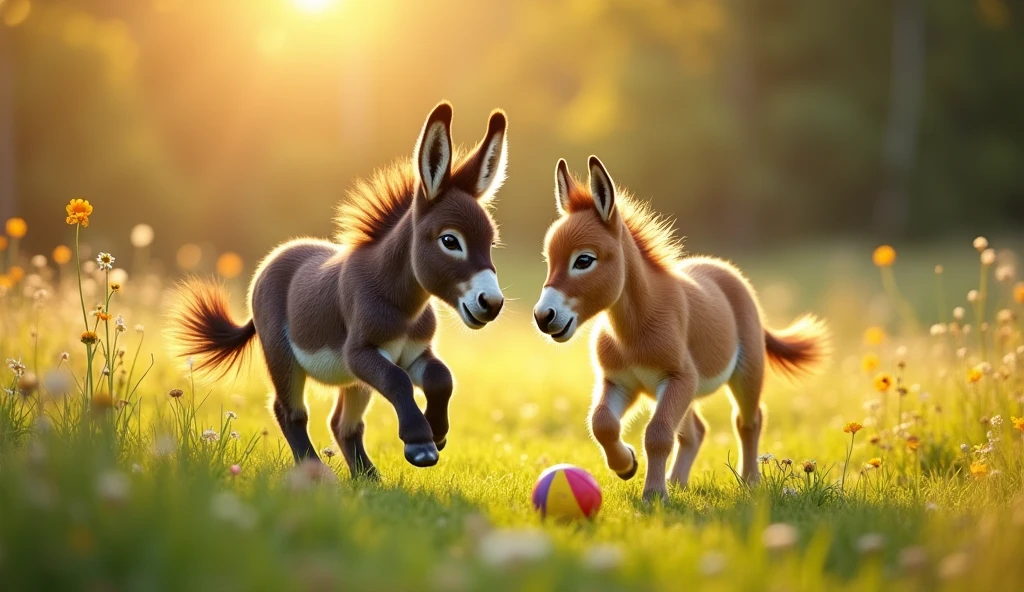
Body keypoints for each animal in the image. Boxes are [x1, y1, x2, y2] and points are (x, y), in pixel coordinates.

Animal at [176, 101, 512, 477]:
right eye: (450, 241)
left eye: (491, 243)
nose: (491, 302)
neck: (401, 304)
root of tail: (277, 256)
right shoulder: (361, 353)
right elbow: (398, 381)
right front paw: (420, 443)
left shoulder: (413, 353)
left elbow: (442, 378)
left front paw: (436, 433)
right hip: (282, 356)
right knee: (290, 411)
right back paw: (317, 474)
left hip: (353, 381)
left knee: (343, 424)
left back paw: (369, 479)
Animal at [532, 154, 827, 499]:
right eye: (549, 260)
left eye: (583, 260)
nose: (543, 316)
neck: (633, 330)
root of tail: (721, 267)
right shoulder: (619, 381)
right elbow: (602, 423)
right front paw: (627, 465)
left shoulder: (679, 378)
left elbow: (657, 434)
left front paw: (654, 494)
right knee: (695, 431)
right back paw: (677, 480)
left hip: (746, 372)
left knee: (748, 421)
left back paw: (750, 480)